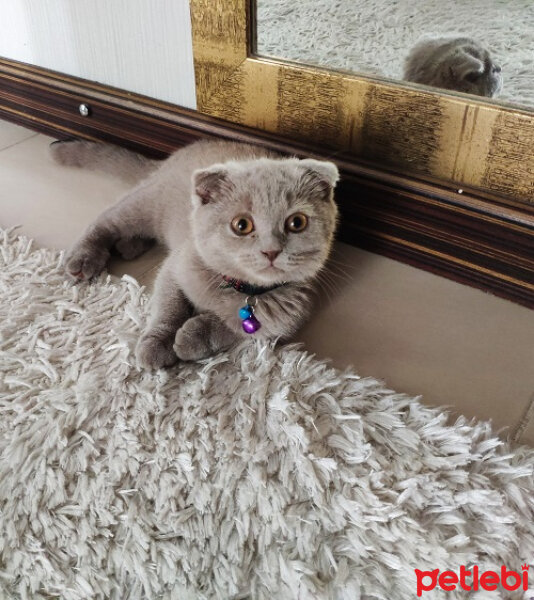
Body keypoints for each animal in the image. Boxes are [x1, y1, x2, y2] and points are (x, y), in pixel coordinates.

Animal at [50, 139, 340, 370]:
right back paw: (84, 259)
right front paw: (158, 345)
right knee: (106, 221)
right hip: (143, 204)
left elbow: (230, 329)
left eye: (297, 223)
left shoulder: (277, 324)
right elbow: (170, 308)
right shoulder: (176, 266)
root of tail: (170, 157)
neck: (241, 289)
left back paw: (129, 246)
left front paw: (190, 338)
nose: (271, 250)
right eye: (242, 225)